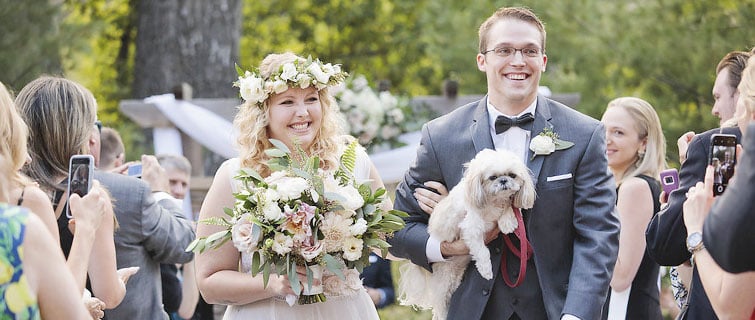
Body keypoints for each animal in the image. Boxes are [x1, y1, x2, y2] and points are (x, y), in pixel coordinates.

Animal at [398, 149, 536, 318]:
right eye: (493, 177)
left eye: (512, 175)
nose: (504, 180)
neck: (492, 200)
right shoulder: (471, 229)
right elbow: (482, 252)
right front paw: (486, 270)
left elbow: (509, 206)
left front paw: (507, 221)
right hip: (443, 283)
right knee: (439, 308)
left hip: (453, 279)